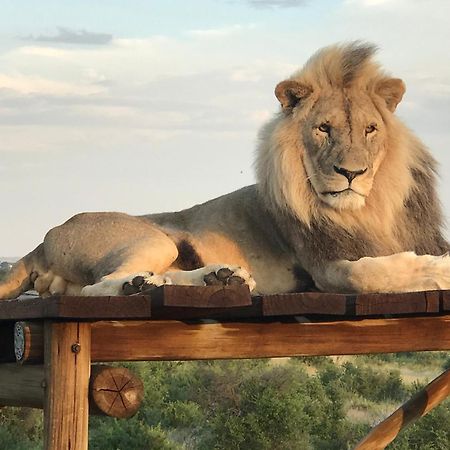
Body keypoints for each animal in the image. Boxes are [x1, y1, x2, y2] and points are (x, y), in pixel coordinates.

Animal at [0, 41, 450, 302]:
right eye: (323, 129)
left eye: (370, 130)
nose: (351, 173)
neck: (370, 206)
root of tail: (41, 241)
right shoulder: (324, 266)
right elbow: (369, 274)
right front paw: (438, 270)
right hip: (150, 239)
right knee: (96, 288)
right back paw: (139, 286)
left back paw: (217, 279)